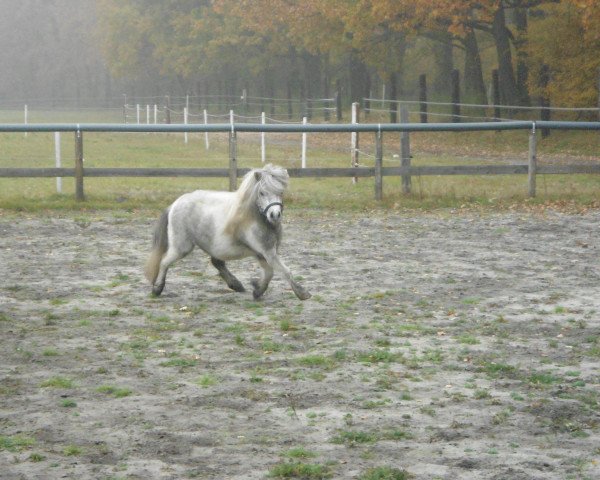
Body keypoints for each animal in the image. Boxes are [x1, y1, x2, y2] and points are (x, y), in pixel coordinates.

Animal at [144, 165, 310, 300]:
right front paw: (302, 293)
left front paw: (257, 290)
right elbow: (285, 271)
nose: (274, 215)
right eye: (262, 193)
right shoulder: (267, 252)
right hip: (182, 247)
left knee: (216, 262)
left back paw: (236, 285)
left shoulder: (263, 253)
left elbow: (270, 273)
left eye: (280, 192)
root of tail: (175, 204)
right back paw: (157, 289)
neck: (253, 217)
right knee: (164, 261)